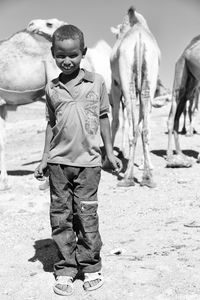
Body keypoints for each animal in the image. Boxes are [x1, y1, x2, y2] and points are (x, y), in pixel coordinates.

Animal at [109, 6, 161, 188]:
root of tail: (139, 40)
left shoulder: (115, 84)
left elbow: (116, 121)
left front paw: (109, 161)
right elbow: (139, 124)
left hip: (127, 81)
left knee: (132, 128)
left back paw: (128, 178)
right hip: (149, 79)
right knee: (144, 129)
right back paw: (148, 178)